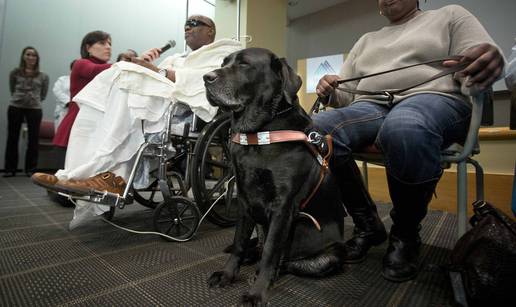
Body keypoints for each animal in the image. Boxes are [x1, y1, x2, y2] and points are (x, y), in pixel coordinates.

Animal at [204, 48, 344, 306]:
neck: (260, 132)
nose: (206, 77)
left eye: (244, 64)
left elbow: (271, 251)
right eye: (224, 62)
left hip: (332, 255)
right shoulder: (245, 201)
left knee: (284, 260)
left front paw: (256, 293)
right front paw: (228, 275)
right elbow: (239, 243)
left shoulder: (283, 206)